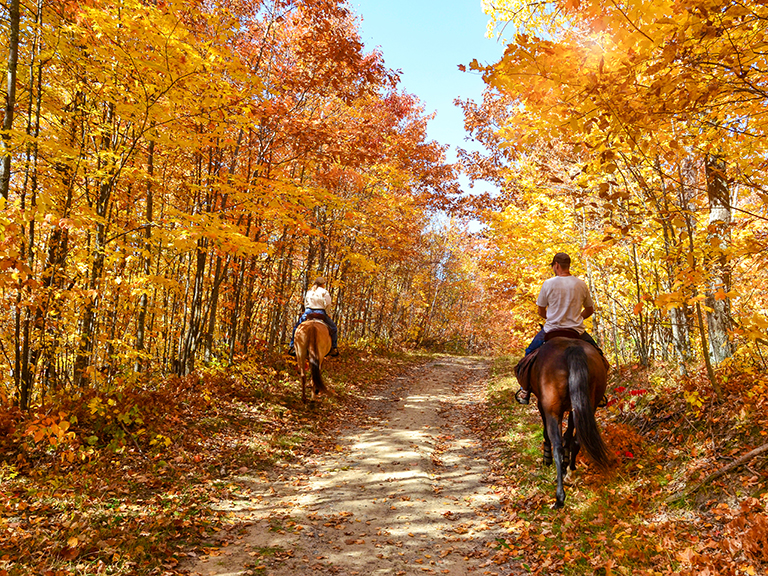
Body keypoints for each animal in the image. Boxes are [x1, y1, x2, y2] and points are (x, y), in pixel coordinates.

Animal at [520, 338, 612, 508]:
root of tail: (572, 348)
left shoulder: (544, 406)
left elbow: (548, 434)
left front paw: (547, 458)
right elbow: (569, 436)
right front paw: (567, 465)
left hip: (553, 410)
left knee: (557, 446)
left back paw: (559, 497)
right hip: (588, 404)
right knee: (577, 439)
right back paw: (570, 468)